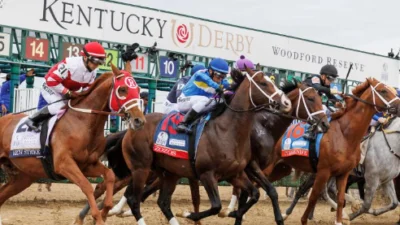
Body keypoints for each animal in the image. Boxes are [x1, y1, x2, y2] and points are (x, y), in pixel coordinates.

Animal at [0, 62, 145, 224]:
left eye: (138, 90)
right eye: (123, 89)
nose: (139, 120)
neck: (83, 122)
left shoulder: (87, 164)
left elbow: (109, 176)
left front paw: (106, 210)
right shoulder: (63, 164)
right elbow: (86, 186)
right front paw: (96, 217)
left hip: (23, 177)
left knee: (2, 196)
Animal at [108, 67, 292, 225]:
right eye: (263, 83)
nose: (286, 102)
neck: (227, 131)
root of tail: (133, 127)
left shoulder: (235, 174)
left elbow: (254, 194)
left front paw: (232, 213)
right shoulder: (206, 174)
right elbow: (216, 206)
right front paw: (188, 213)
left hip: (169, 172)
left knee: (163, 202)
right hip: (141, 168)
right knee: (134, 199)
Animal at [274, 78, 400, 225]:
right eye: (383, 90)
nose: (399, 105)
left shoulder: (385, 179)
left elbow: (394, 203)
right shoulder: (371, 178)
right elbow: (366, 205)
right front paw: (349, 214)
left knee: (323, 190)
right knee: (307, 189)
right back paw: (288, 213)